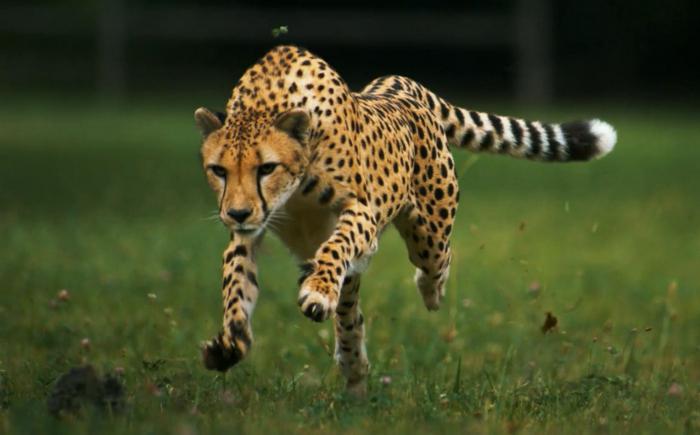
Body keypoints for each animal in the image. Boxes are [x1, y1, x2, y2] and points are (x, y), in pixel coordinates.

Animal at [194, 44, 616, 396]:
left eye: (266, 168)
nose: (237, 212)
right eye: (219, 171)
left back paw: (424, 293)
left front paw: (318, 289)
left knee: (433, 264)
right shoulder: (247, 235)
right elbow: (237, 286)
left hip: (431, 234)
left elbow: (336, 248)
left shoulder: (360, 212)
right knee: (350, 312)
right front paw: (230, 344)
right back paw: (353, 365)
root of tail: (400, 84)